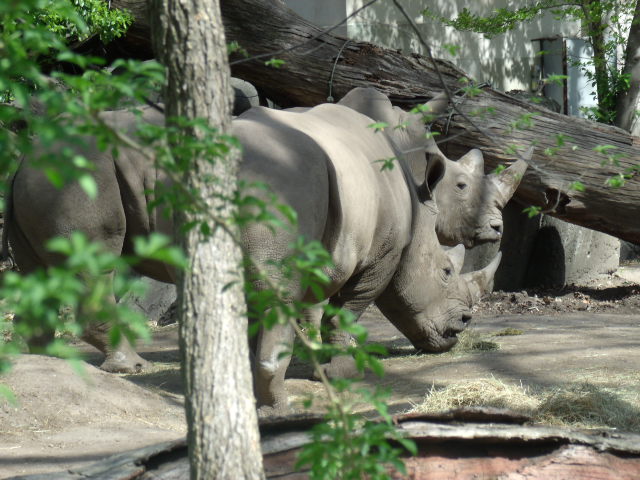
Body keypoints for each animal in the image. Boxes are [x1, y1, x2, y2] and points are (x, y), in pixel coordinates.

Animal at [4, 102, 499, 411]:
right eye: (446, 270)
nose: (460, 327)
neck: (417, 207)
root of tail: (28, 153)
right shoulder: (378, 256)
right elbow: (344, 311)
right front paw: (340, 370)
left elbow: (308, 310)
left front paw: (311, 360)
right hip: (86, 169)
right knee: (97, 262)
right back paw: (135, 365)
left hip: (53, 172)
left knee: (35, 271)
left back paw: (43, 357)